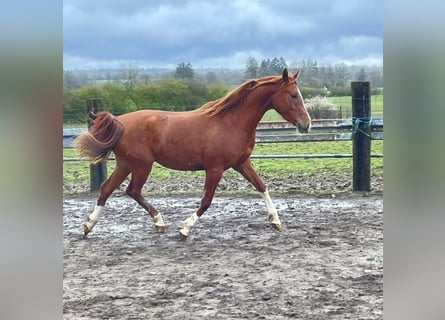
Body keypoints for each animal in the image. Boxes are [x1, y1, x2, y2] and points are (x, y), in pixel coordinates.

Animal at [74, 69, 308, 240]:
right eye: (293, 95)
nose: (307, 124)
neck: (231, 122)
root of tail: (120, 122)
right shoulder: (215, 168)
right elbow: (206, 201)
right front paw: (185, 229)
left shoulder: (242, 163)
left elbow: (261, 186)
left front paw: (276, 221)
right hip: (142, 166)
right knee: (132, 190)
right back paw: (159, 222)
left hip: (125, 164)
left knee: (107, 189)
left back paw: (88, 226)